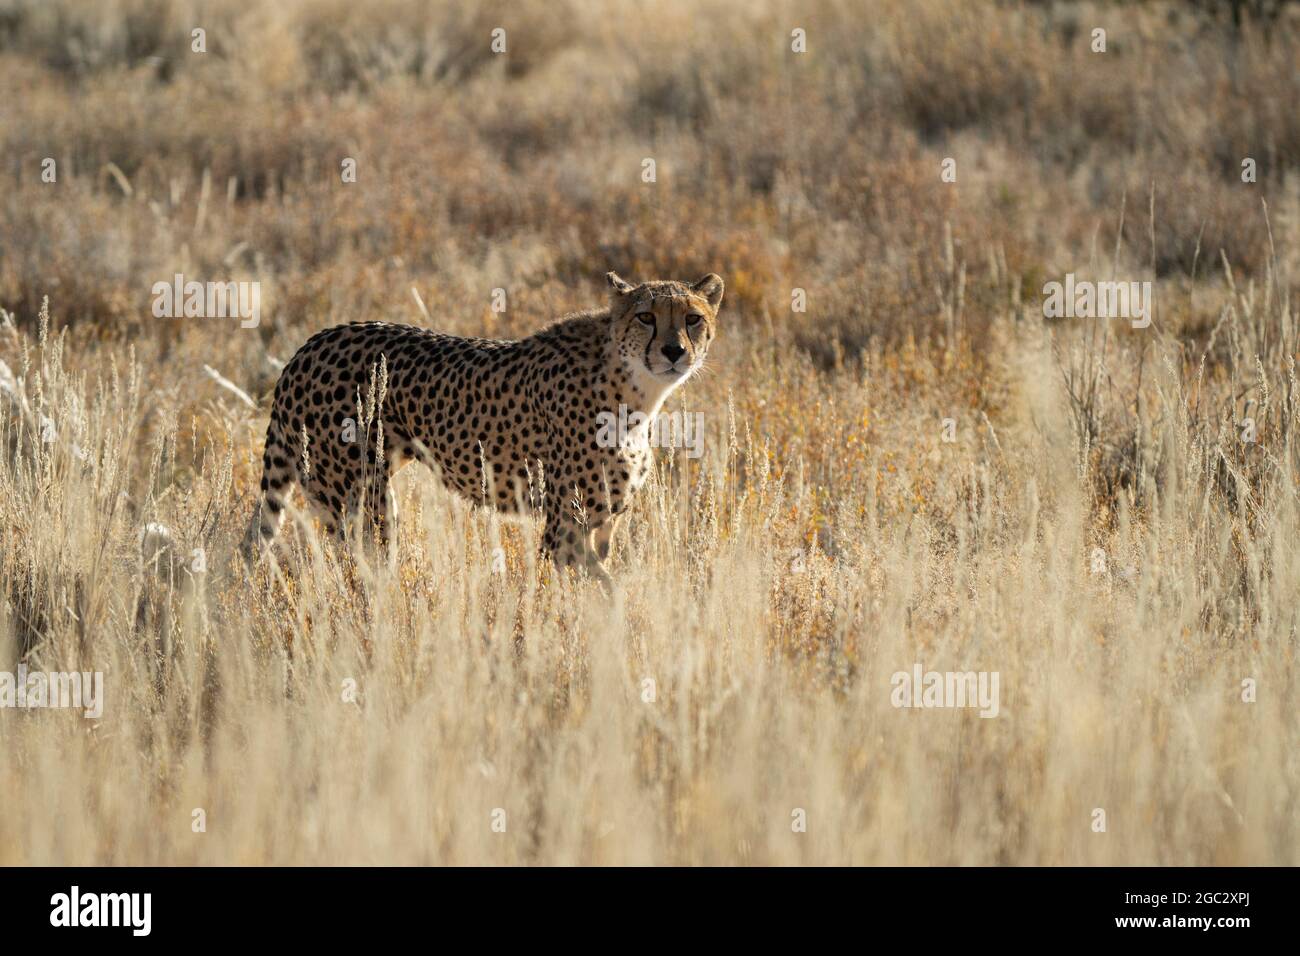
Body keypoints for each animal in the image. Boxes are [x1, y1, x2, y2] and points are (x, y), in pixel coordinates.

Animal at [245, 270, 722, 582]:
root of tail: (309, 345)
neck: (637, 392)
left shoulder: (601, 525)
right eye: (646, 317)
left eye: (693, 318)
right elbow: (603, 591)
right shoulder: (564, 532)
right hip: (361, 501)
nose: (674, 351)